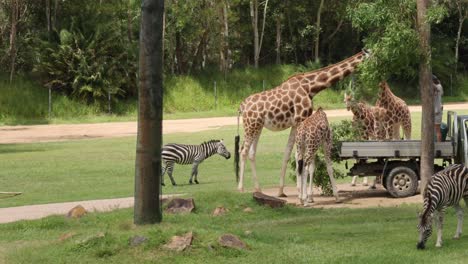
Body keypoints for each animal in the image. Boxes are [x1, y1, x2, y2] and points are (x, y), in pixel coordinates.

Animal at [234, 49, 370, 196]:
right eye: (371, 55)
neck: (311, 87)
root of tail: (241, 107)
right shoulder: (301, 118)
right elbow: (299, 154)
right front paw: (301, 191)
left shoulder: (296, 123)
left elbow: (289, 153)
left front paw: (283, 190)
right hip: (251, 125)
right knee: (243, 151)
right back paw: (240, 188)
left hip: (258, 126)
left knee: (252, 152)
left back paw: (258, 189)